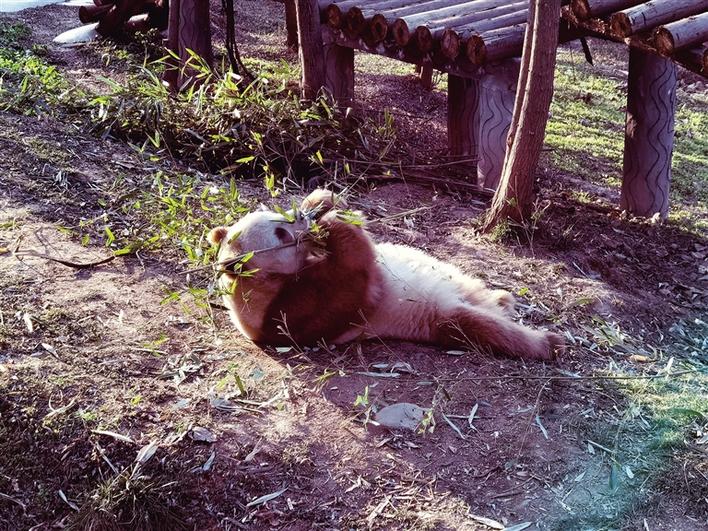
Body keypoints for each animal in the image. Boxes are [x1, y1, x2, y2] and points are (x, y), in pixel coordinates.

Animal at [206, 188, 564, 362]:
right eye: (280, 233)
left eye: (278, 217)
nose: (302, 220)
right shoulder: (289, 314)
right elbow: (353, 280)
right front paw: (333, 223)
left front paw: (321, 201)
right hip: (435, 315)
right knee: (483, 327)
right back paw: (548, 343)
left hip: (454, 278)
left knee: (476, 291)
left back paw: (503, 299)